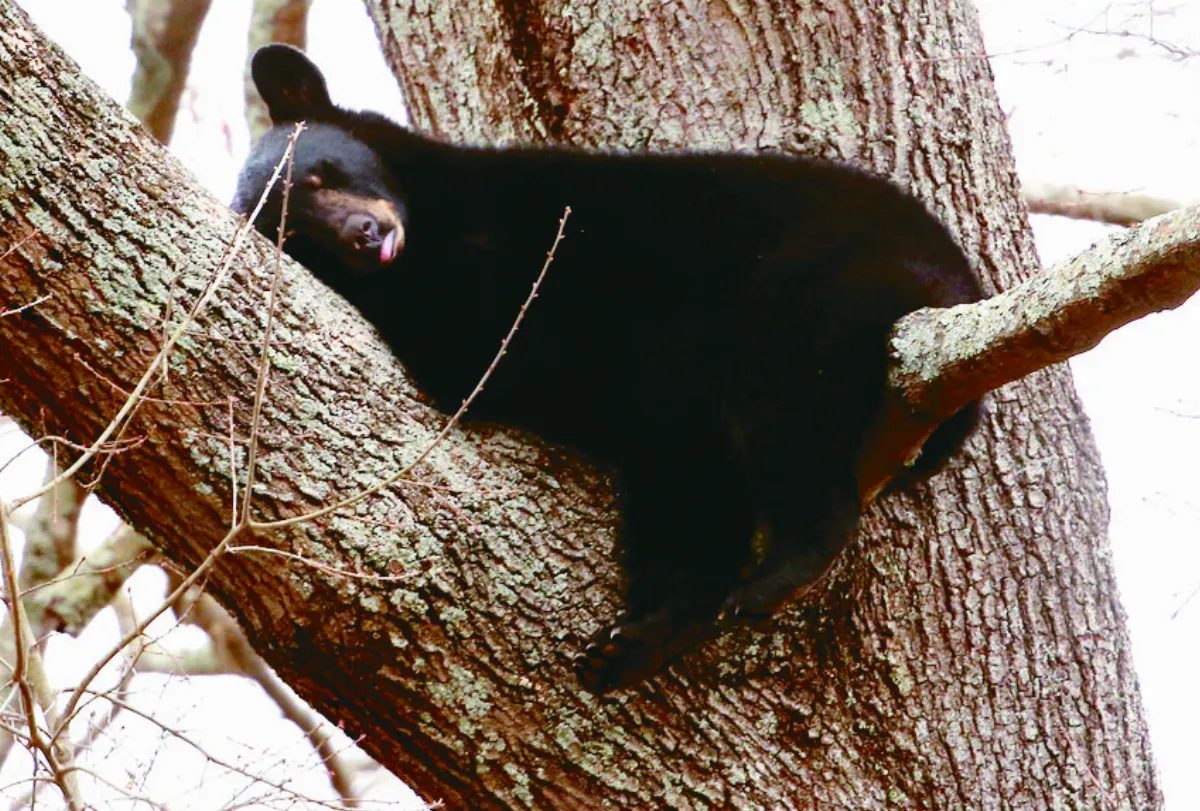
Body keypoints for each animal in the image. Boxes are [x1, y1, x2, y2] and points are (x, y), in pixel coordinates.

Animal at [233, 44, 982, 694]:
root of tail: (957, 281)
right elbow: (475, 354)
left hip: (823, 289)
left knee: (779, 414)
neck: (438, 231)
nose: (364, 237)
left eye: (325, 173)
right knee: (689, 495)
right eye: (294, 231)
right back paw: (639, 640)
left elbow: (491, 340)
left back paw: (780, 569)